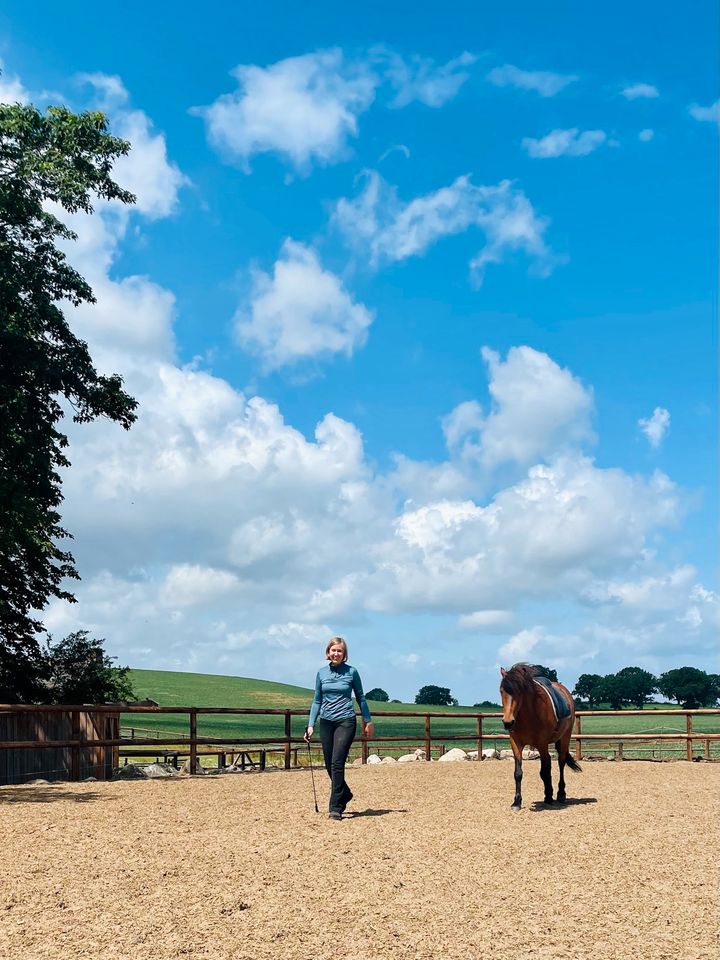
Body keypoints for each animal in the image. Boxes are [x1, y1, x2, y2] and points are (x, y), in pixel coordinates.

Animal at [504, 668, 584, 808]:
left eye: (519, 692)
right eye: (501, 690)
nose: (508, 722)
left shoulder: (542, 744)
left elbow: (544, 771)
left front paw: (549, 796)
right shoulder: (516, 743)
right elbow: (518, 773)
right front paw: (517, 801)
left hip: (565, 738)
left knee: (561, 762)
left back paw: (560, 794)